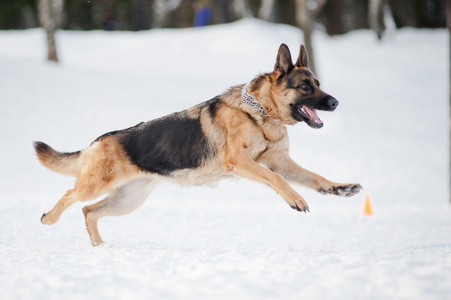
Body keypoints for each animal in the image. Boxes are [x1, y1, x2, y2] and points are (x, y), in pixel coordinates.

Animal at [34, 44, 364, 246]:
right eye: (305, 86)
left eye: (318, 83)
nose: (335, 102)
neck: (261, 113)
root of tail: (99, 140)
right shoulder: (241, 162)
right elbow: (275, 179)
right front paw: (295, 198)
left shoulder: (281, 161)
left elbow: (314, 177)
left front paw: (339, 188)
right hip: (96, 186)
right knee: (70, 197)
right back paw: (49, 219)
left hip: (127, 201)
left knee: (88, 211)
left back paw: (100, 246)